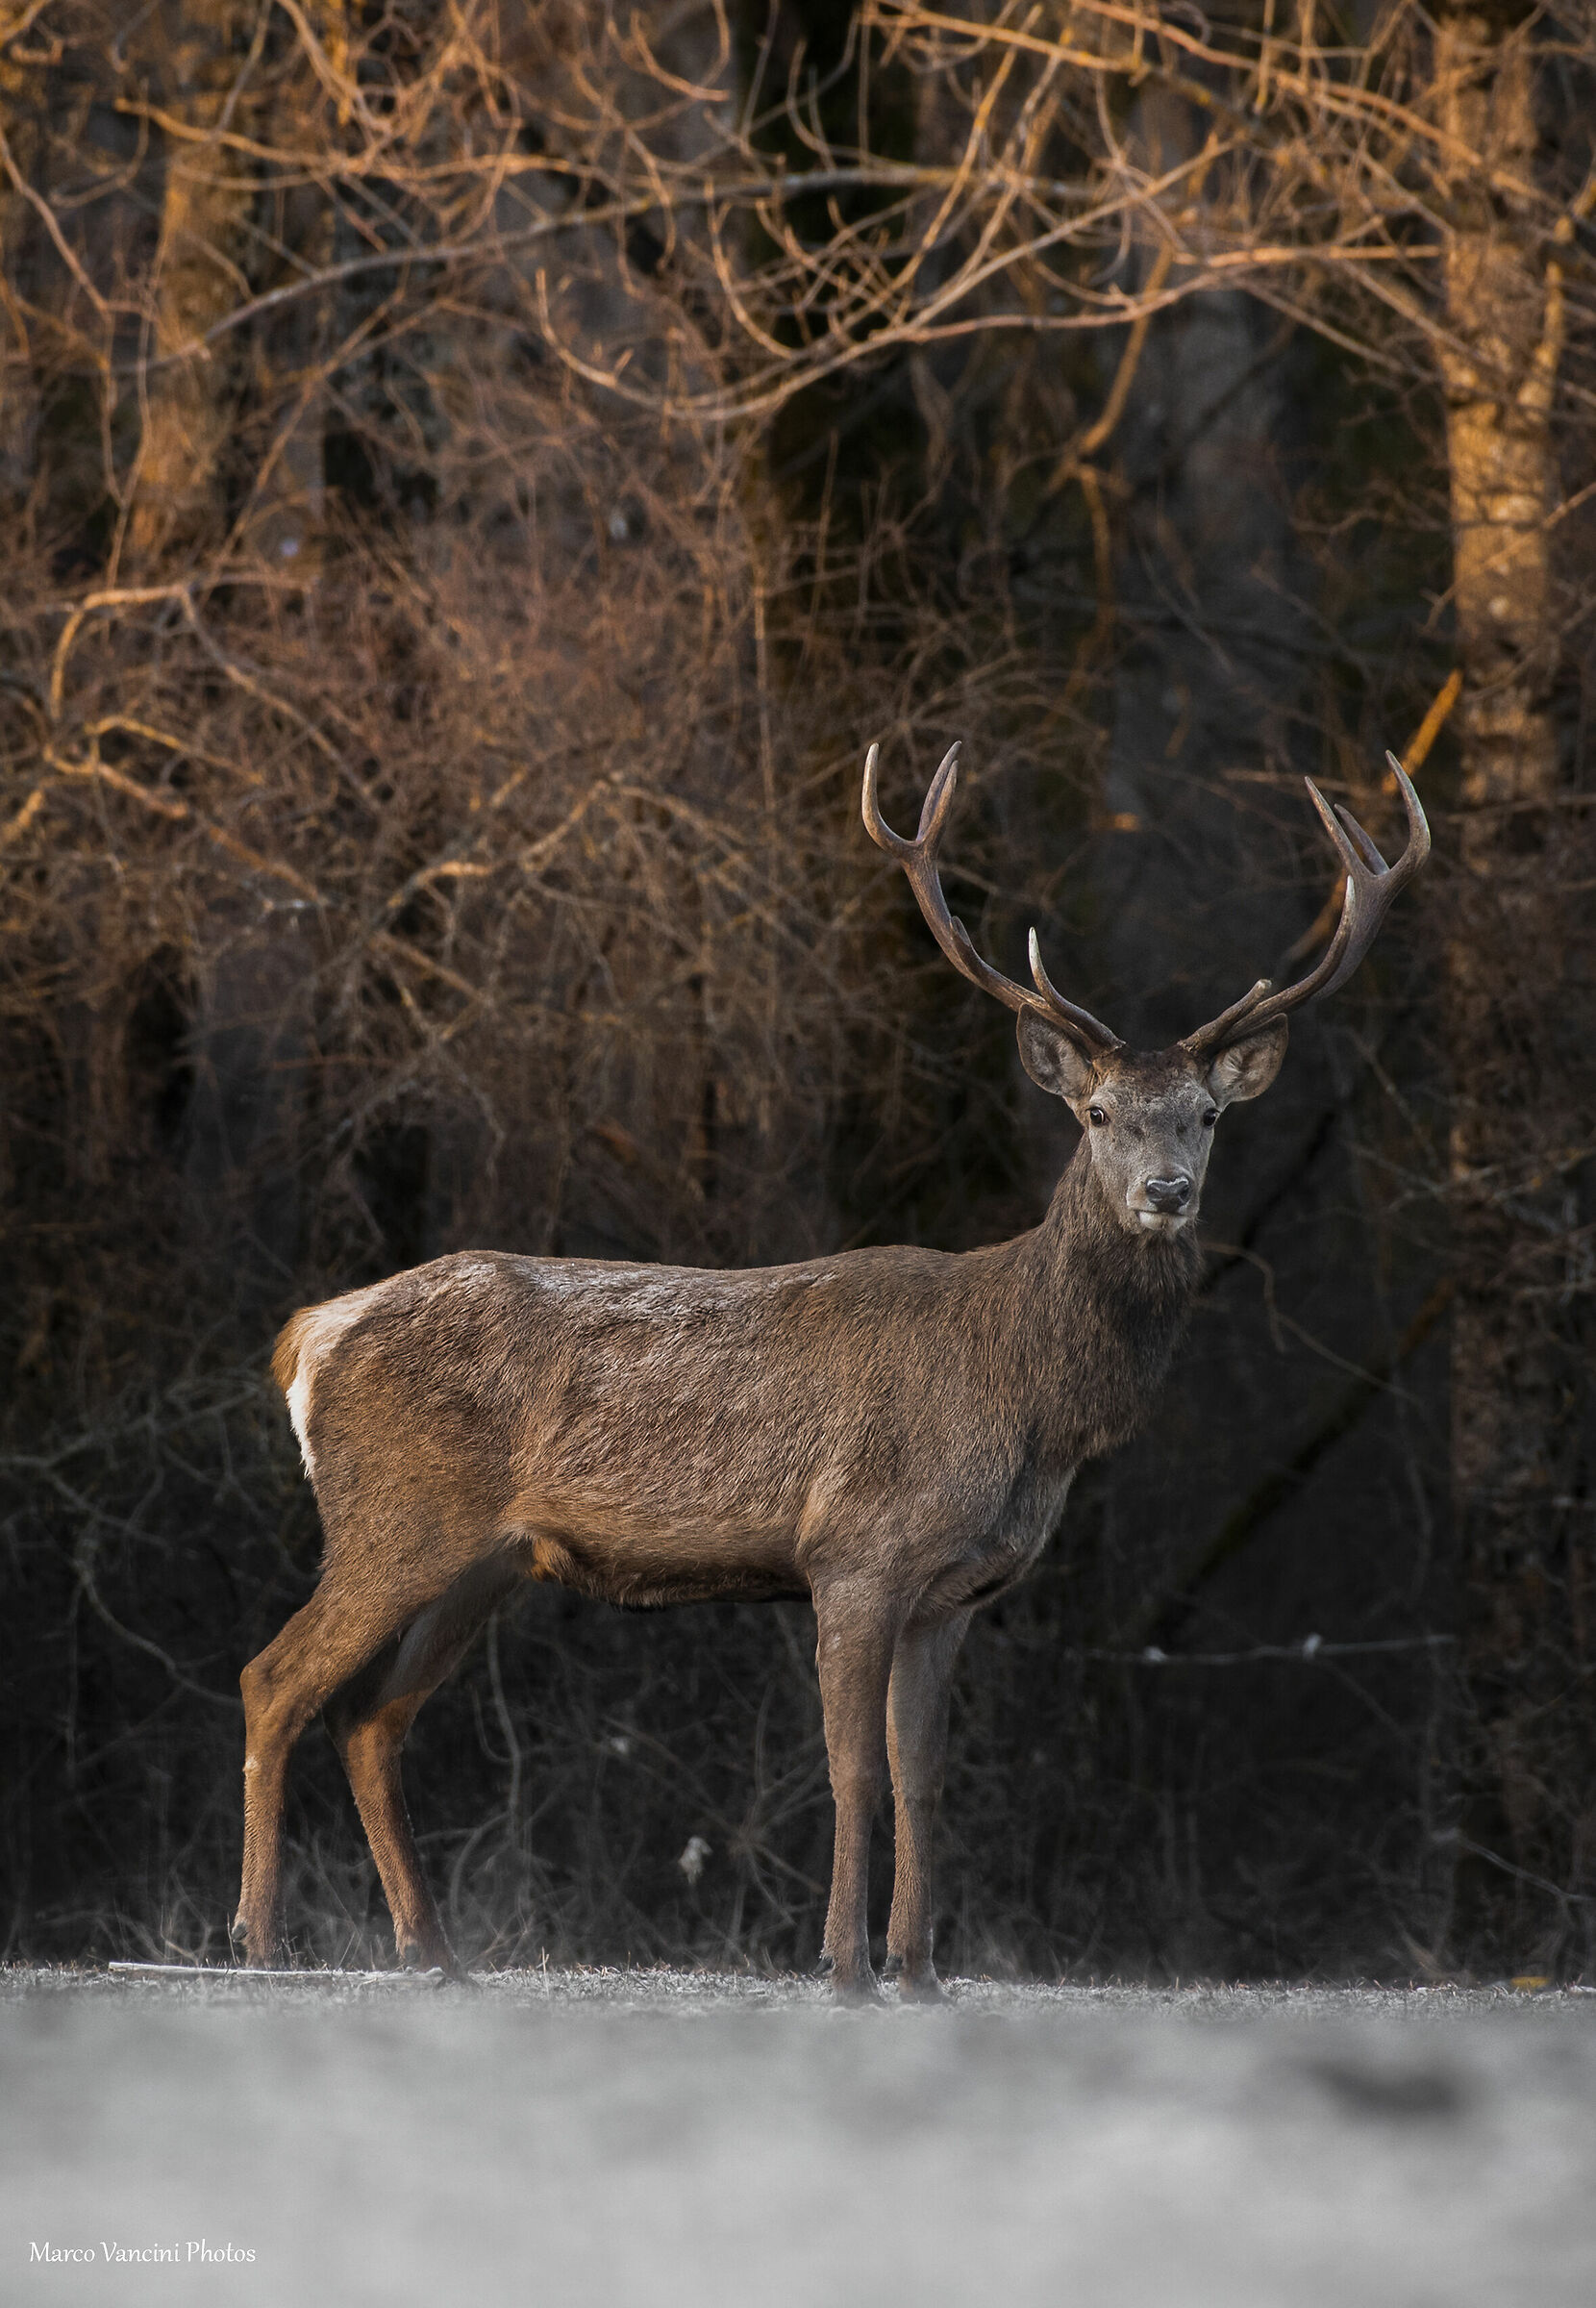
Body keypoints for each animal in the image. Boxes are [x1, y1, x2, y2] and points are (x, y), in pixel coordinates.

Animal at [235, 742, 1428, 1997]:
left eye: (1204, 1115)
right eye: (1098, 1112)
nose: (1165, 1192)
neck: (1027, 1403)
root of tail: (311, 1332)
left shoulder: (957, 1592)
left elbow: (922, 1777)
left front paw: (920, 1968)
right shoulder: (854, 1550)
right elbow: (851, 1769)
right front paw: (843, 1962)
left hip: (484, 1561)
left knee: (372, 1719)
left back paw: (434, 1951)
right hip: (393, 1518)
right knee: (276, 1681)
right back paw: (259, 1938)